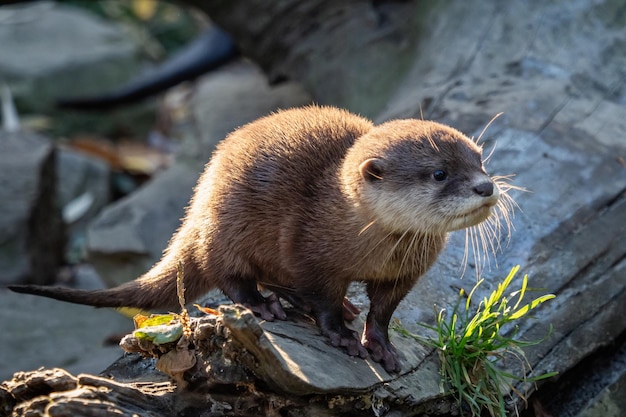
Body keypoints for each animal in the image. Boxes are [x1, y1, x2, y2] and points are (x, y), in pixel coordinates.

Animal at [8, 105, 502, 372]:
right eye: (439, 173)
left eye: (479, 159)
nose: (486, 186)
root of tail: (198, 206)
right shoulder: (308, 250)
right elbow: (320, 298)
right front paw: (340, 335)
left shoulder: (404, 274)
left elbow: (383, 311)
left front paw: (379, 345)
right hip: (227, 228)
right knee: (227, 275)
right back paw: (265, 305)